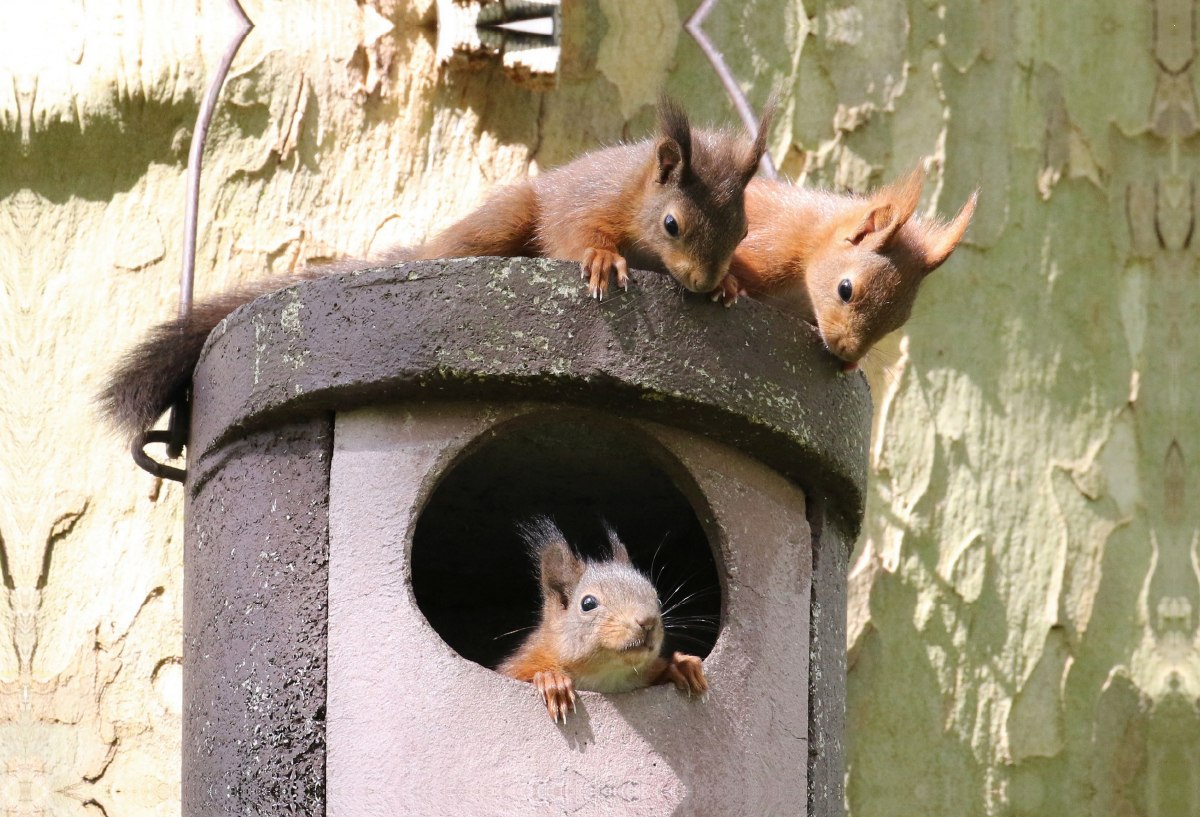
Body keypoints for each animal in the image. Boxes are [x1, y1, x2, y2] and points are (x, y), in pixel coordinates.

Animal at [100, 97, 777, 439]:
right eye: (673, 225)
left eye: (744, 231)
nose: (701, 281)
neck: (639, 196)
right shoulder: (591, 201)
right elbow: (573, 234)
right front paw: (601, 260)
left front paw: (732, 287)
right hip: (500, 220)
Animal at [494, 518, 705, 724]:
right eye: (588, 603)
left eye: (658, 600)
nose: (648, 622)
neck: (606, 677)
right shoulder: (525, 661)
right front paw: (551, 680)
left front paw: (682, 665)